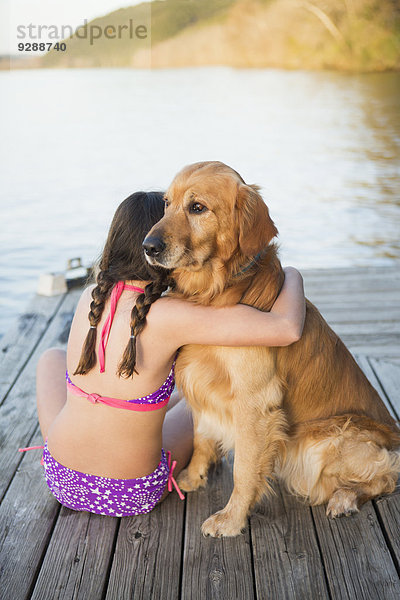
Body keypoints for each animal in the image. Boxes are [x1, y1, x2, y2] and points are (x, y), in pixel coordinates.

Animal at [142, 162, 398, 536]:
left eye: (197, 207)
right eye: (166, 203)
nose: (148, 246)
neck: (215, 293)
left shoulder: (254, 400)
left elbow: (244, 469)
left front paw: (231, 519)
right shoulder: (201, 383)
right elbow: (202, 436)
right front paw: (192, 476)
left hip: (325, 438)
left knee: (387, 474)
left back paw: (345, 498)